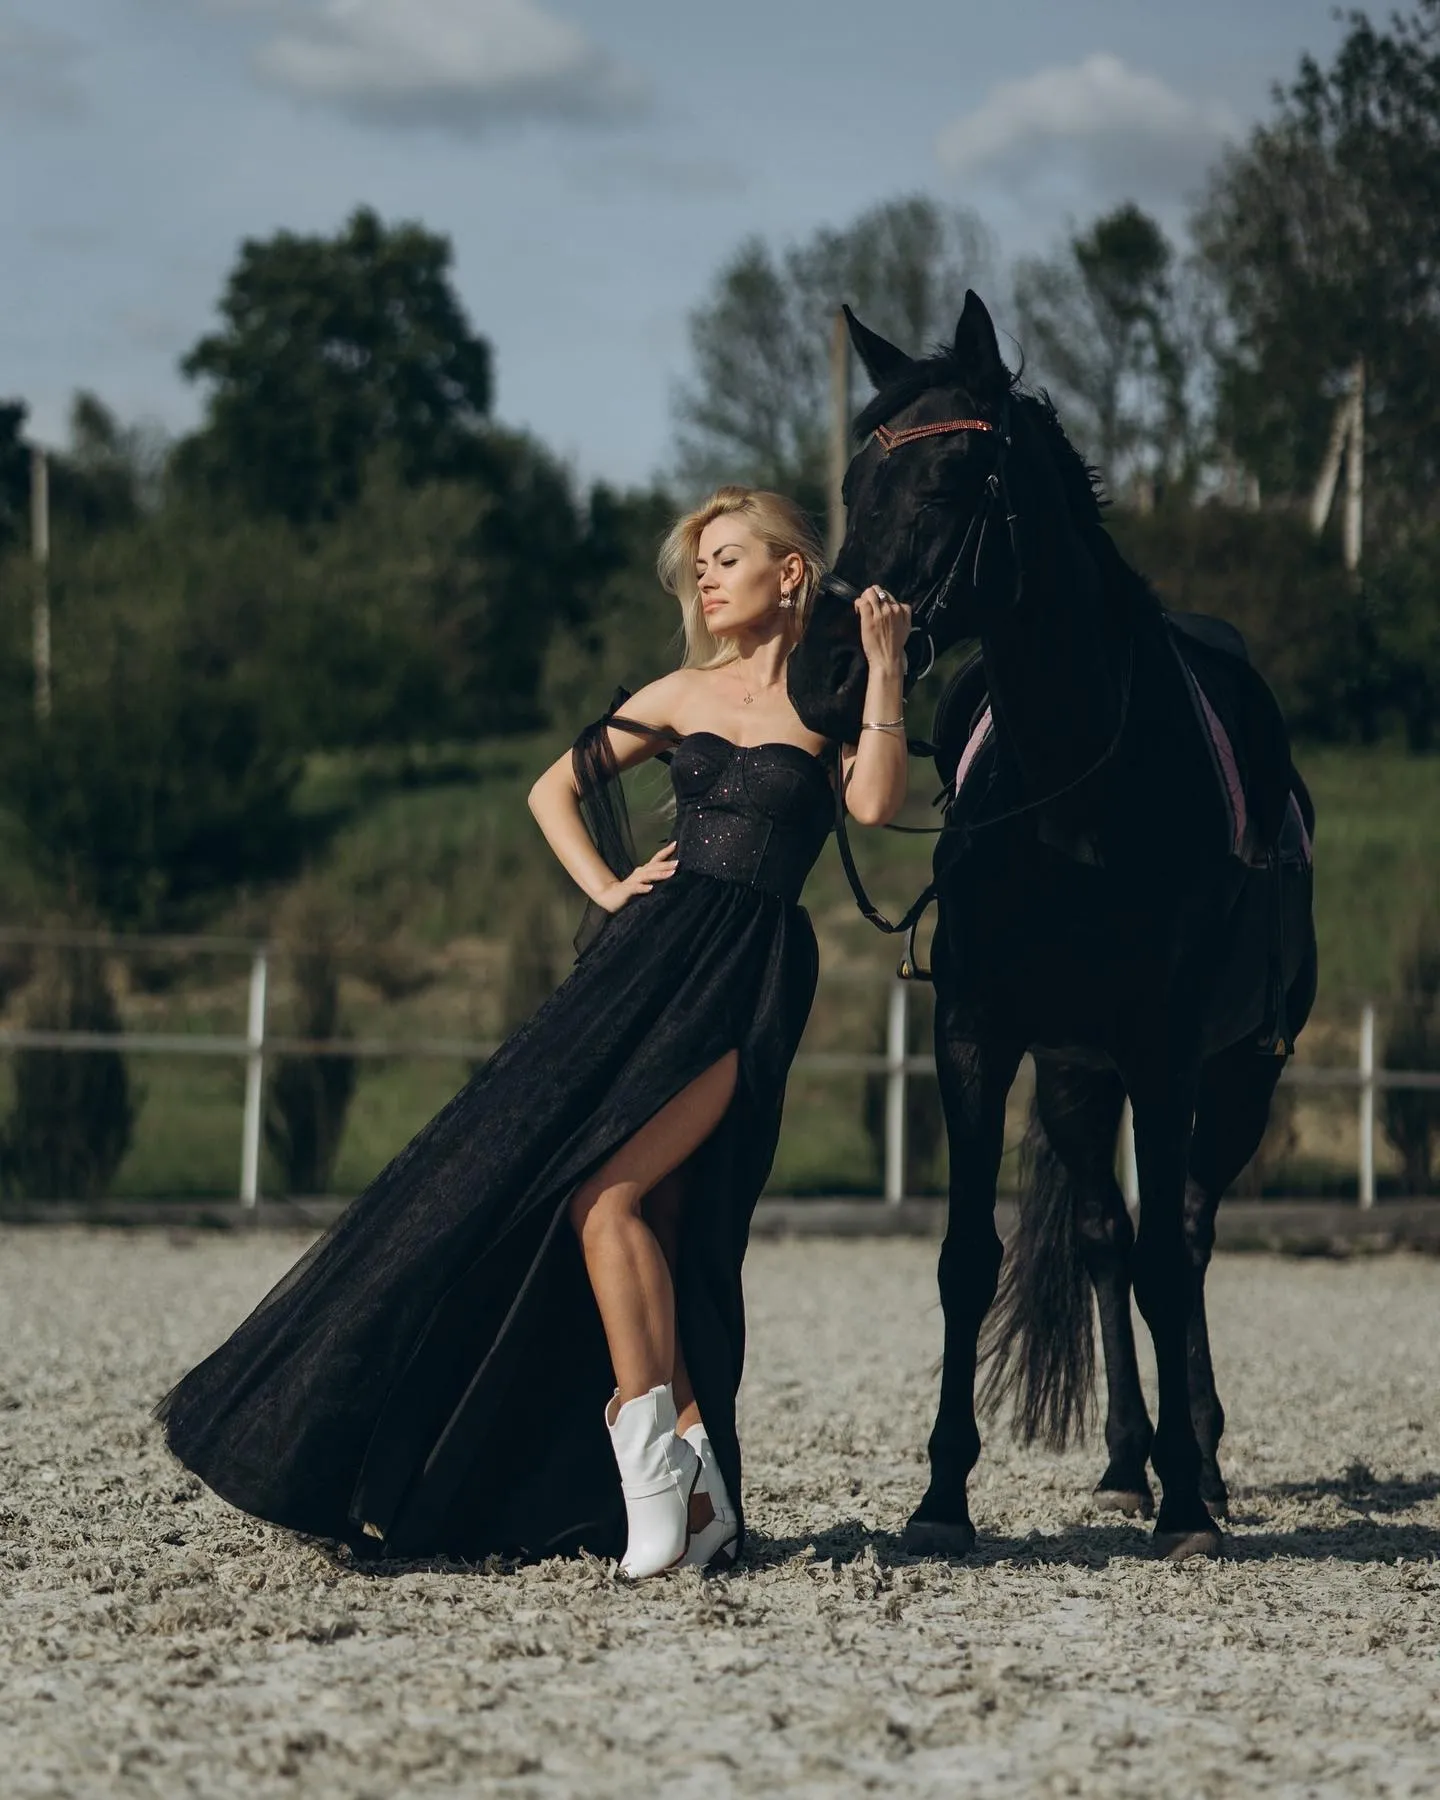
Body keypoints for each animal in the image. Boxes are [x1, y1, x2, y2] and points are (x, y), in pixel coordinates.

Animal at [788, 295, 1317, 1562]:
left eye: (945, 483)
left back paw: (1197, 1461)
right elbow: (969, 1259)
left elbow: (1173, 1263)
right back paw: (1131, 1460)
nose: (822, 676)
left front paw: (1190, 1507)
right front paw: (941, 1498)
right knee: (1105, 1240)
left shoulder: (1170, 1054)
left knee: (1186, 1232)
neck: (1082, 791)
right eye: (852, 486)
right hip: (1082, 1078)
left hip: (1236, 1075)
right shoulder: (981, 1037)